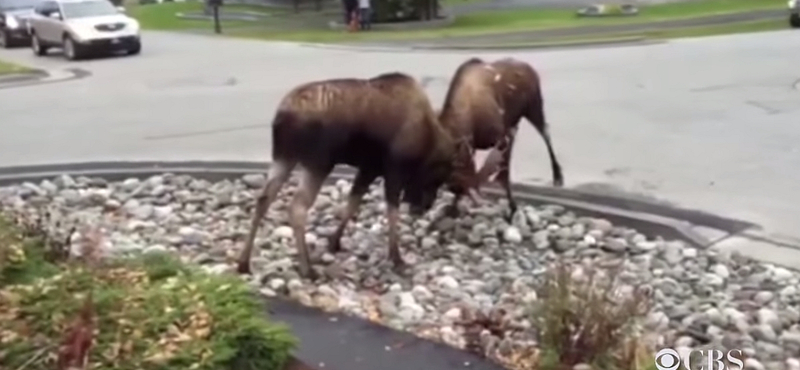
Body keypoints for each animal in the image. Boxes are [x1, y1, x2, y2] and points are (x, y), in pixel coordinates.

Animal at [438, 56, 564, 215]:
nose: (453, 187)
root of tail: (530, 68)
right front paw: (452, 208)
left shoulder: (500, 138)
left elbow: (504, 172)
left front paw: (512, 206)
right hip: (515, 121)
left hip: (534, 107)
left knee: (545, 133)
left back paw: (558, 175)